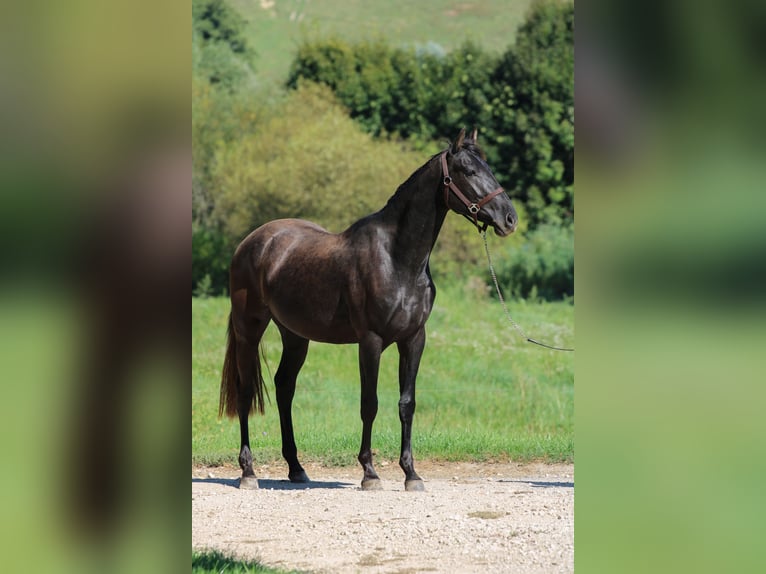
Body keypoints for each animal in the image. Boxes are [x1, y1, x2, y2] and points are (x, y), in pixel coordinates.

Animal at [222, 129, 520, 490]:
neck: (397, 259)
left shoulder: (414, 339)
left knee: (284, 387)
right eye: (468, 170)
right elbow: (370, 403)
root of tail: (252, 241)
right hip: (249, 328)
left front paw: (411, 474)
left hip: (294, 335)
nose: (509, 218)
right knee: (245, 391)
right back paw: (248, 472)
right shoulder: (371, 341)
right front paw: (370, 472)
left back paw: (296, 468)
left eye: (488, 167)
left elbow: (407, 403)